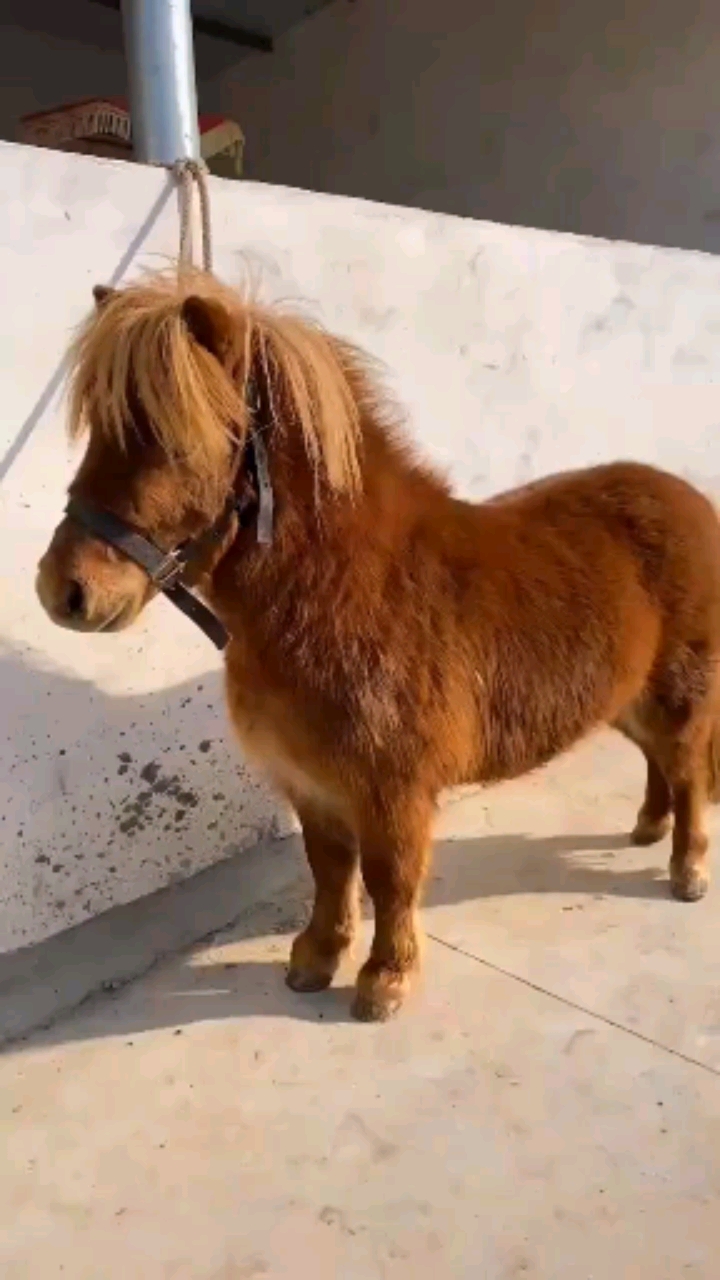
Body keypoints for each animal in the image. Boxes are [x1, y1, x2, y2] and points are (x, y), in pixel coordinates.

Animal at [36, 269, 720, 1021]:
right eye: (98, 431)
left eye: (173, 442)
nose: (64, 591)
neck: (343, 594)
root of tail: (689, 498)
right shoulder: (312, 785)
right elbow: (330, 871)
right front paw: (314, 960)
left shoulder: (393, 790)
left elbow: (391, 877)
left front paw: (384, 981)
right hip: (627, 700)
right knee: (659, 762)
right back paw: (647, 829)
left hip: (680, 696)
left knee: (688, 770)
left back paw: (686, 869)